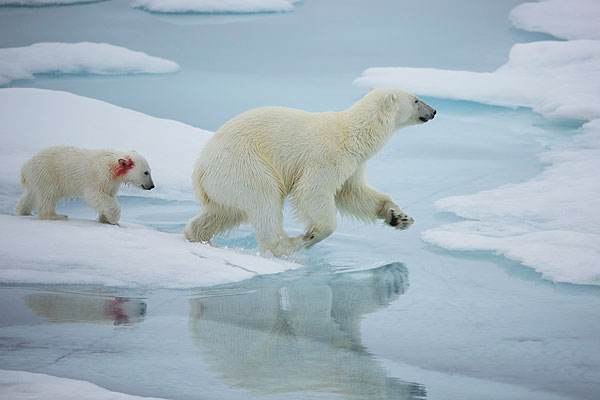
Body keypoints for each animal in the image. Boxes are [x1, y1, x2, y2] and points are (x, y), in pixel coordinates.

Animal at [16, 145, 154, 223]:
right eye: (146, 172)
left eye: (149, 171)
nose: (152, 186)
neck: (112, 166)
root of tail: (25, 168)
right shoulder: (99, 176)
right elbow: (96, 195)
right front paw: (113, 219)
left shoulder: (112, 182)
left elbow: (109, 195)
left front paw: (104, 218)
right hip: (47, 174)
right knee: (48, 195)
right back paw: (57, 215)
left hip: (36, 178)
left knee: (31, 195)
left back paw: (24, 211)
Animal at [184, 88, 436, 255]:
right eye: (416, 100)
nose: (434, 110)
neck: (353, 134)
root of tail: (200, 169)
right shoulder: (327, 157)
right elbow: (313, 191)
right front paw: (312, 234)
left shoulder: (353, 165)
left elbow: (353, 193)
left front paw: (399, 217)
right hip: (243, 165)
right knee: (265, 200)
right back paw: (289, 244)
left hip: (223, 184)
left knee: (224, 212)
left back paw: (196, 236)